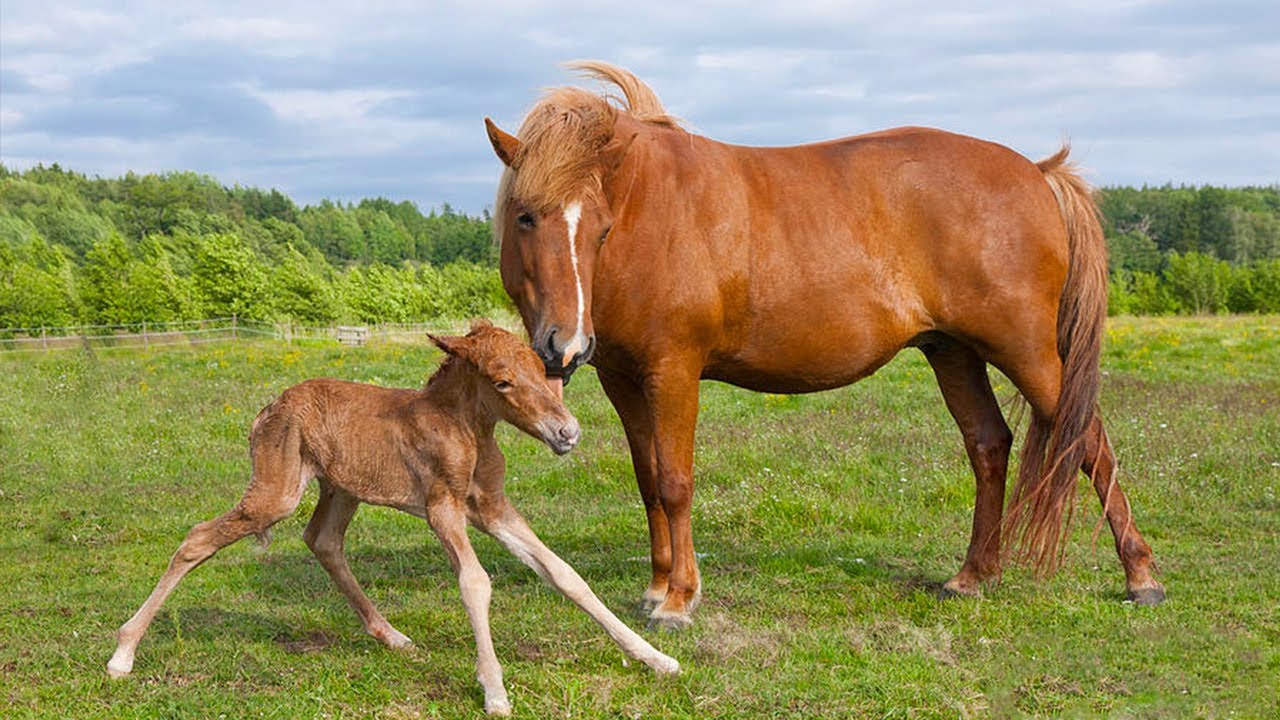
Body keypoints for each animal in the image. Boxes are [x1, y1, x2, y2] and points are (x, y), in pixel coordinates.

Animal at [110, 322, 680, 712]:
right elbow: (475, 582)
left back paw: (392, 636)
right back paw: (123, 653)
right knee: (198, 538)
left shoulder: (493, 508)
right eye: (501, 382)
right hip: (277, 491)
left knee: (322, 540)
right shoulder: (442, 508)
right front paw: (494, 690)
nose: (567, 433)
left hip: (342, 488)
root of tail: (268, 408)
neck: (468, 430)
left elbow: (564, 574)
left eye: (545, 372)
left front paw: (655, 657)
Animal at [483, 61, 1167, 627]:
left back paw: (1141, 578)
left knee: (1088, 440)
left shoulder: (673, 371)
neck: (651, 209)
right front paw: (655, 589)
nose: (564, 345)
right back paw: (972, 577)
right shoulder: (623, 378)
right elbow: (648, 479)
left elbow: (676, 480)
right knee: (989, 446)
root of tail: (1037, 174)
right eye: (526, 216)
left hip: (1027, 353)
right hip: (953, 352)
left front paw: (679, 599)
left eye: (600, 228)